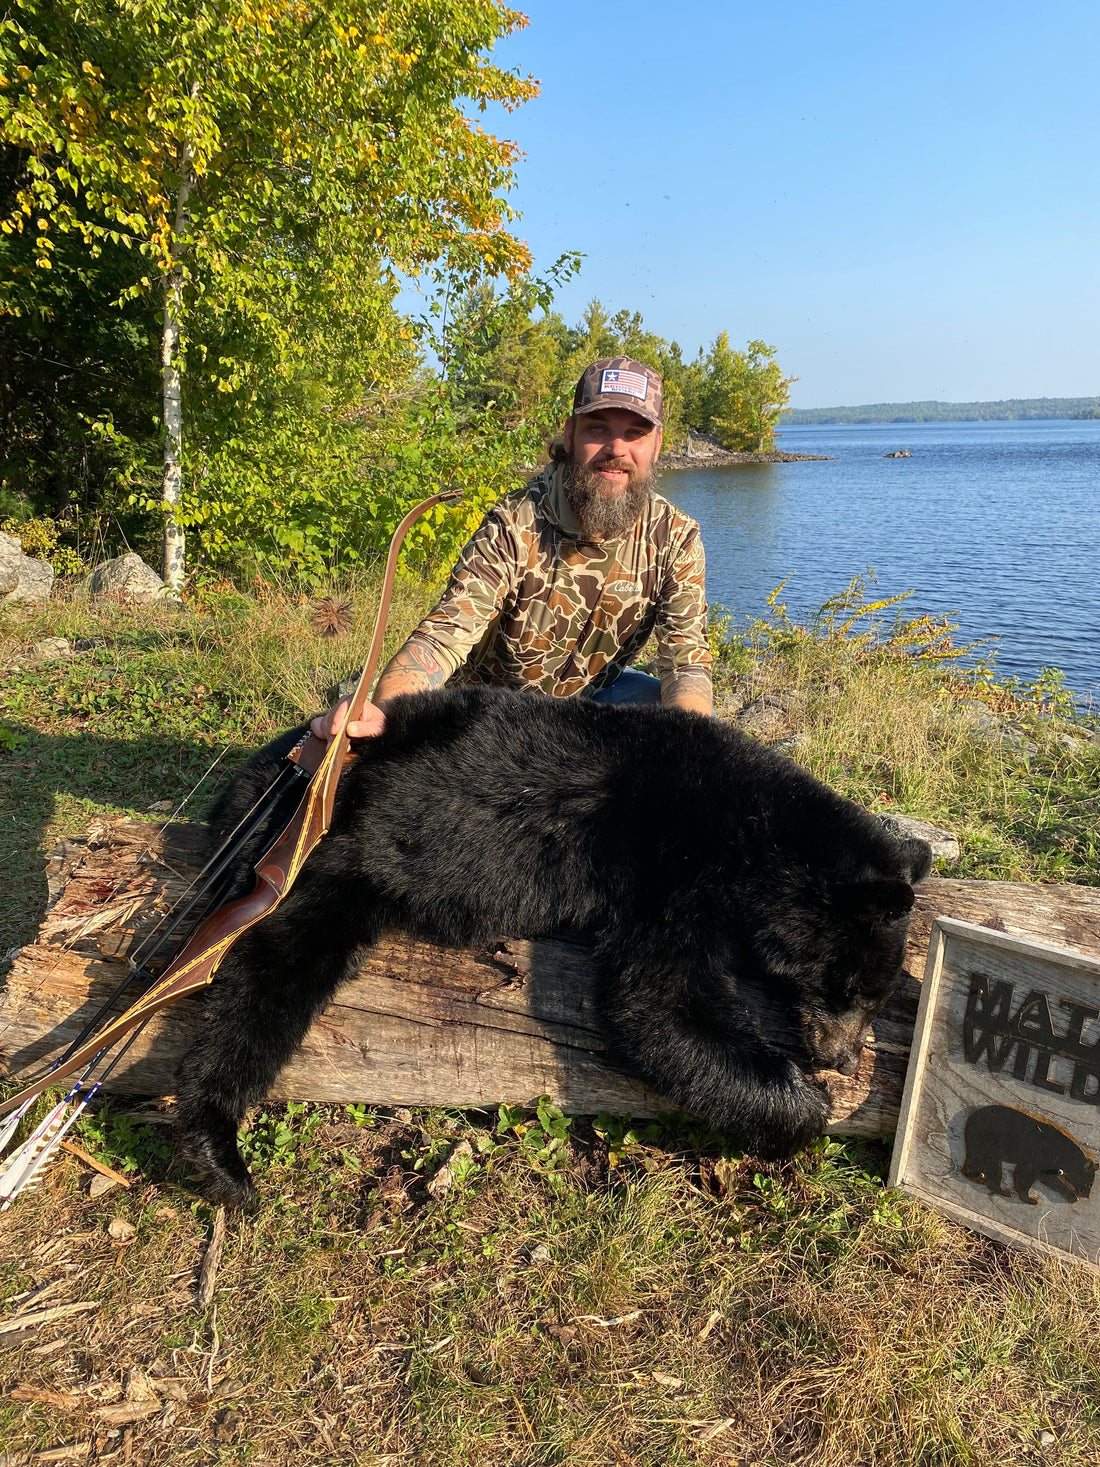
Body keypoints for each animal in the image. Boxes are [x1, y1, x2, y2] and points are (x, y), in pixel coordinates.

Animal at [175, 686, 932, 1207]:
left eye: (874, 997)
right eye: (848, 989)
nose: (843, 1059)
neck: (757, 830)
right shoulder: (676, 866)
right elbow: (658, 1007)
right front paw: (806, 1104)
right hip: (331, 852)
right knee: (268, 972)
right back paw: (218, 1149)